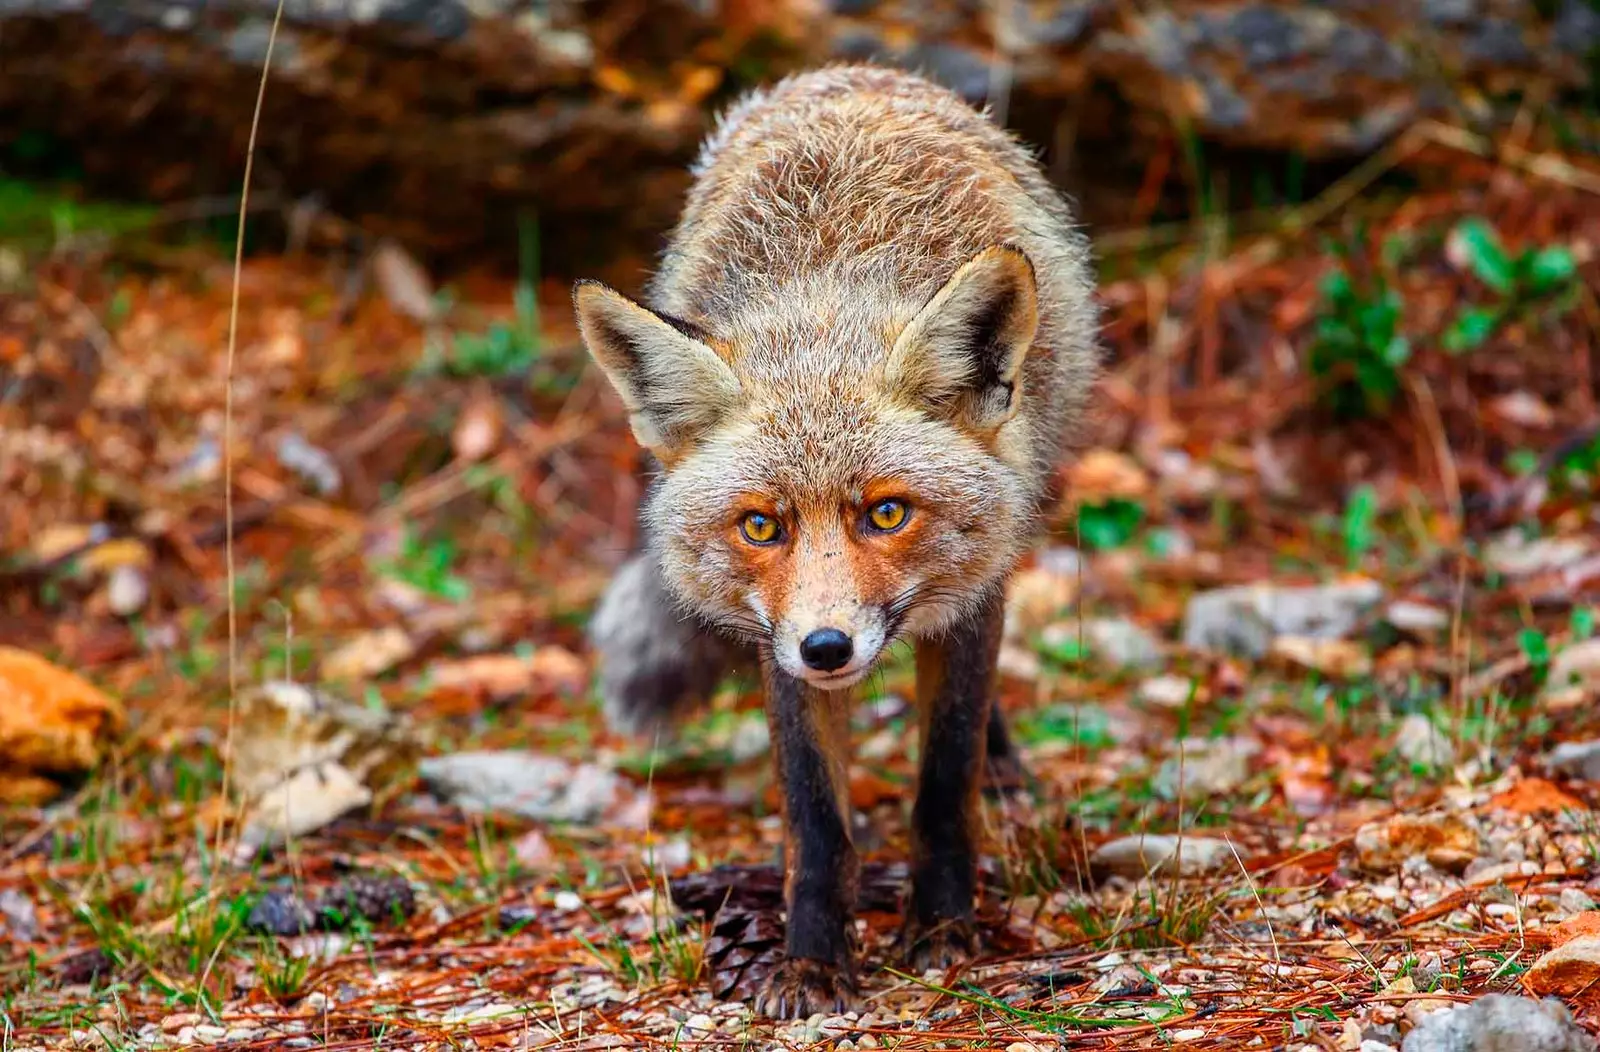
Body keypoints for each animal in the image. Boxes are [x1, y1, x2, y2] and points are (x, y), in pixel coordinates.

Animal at [569, 63, 1094, 1016]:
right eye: (760, 526)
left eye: (886, 513)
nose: (827, 647)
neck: (824, 297)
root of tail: (852, 74)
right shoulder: (773, 639)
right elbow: (816, 825)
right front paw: (812, 963)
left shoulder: (968, 601)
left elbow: (943, 780)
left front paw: (942, 928)